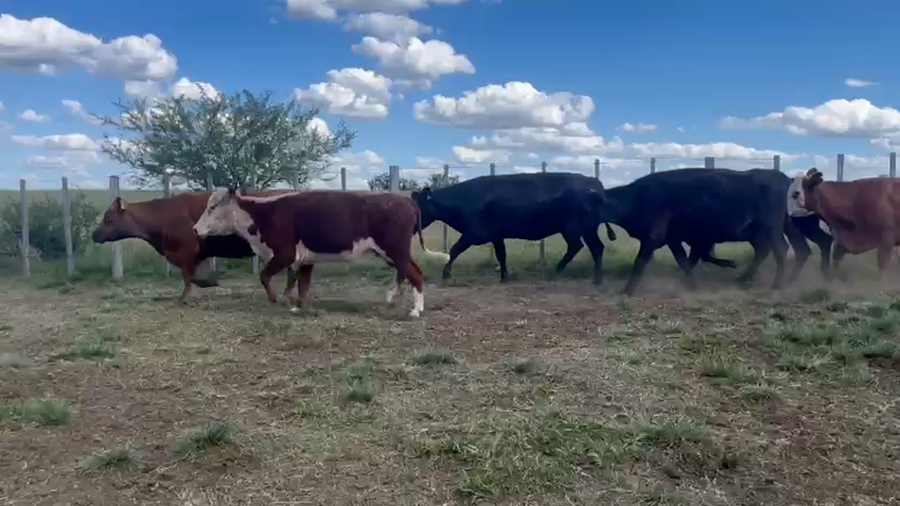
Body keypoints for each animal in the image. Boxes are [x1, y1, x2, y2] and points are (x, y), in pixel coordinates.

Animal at [90, 190, 298, 303]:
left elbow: (188, 277)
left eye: (108, 218)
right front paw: (208, 281)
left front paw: (184, 298)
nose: (93, 235)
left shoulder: (188, 251)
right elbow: (191, 277)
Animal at [191, 188, 451, 317]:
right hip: (389, 252)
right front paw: (299, 305)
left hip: (396, 249)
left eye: (212, 207)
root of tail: (404, 200)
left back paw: (416, 310)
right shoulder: (305, 259)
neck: (265, 214)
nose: (195, 229)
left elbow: (265, 276)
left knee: (415, 273)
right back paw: (391, 297)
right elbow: (301, 283)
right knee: (404, 272)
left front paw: (278, 299)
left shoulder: (284, 254)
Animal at [599, 167, 833, 295]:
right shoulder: (678, 239)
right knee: (799, 249)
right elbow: (687, 260)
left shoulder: (657, 237)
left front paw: (627, 290)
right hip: (788, 227)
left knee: (781, 249)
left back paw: (776, 284)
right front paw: (690, 283)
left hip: (772, 227)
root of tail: (785, 180)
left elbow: (642, 261)